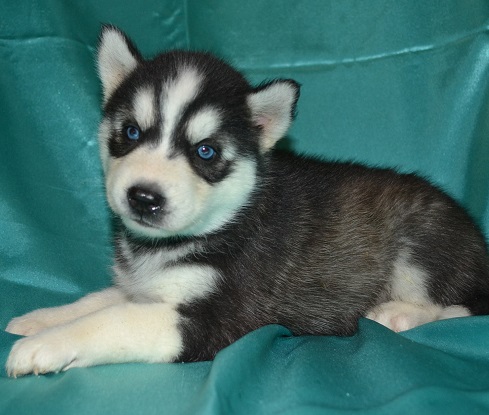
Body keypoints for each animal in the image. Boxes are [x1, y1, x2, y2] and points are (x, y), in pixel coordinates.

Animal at [4, 25, 488, 376]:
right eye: (131, 132)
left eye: (205, 151)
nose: (143, 197)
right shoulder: (143, 288)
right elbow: (99, 300)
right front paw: (42, 318)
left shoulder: (215, 320)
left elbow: (112, 320)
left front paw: (43, 345)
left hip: (422, 246)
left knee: (464, 307)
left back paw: (400, 314)